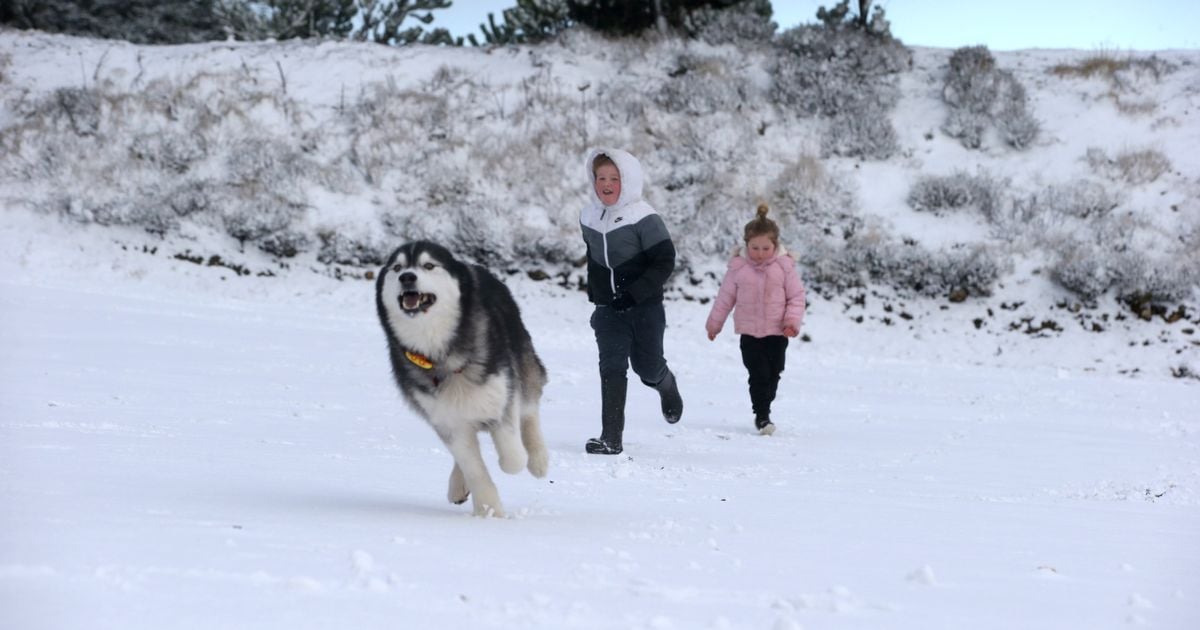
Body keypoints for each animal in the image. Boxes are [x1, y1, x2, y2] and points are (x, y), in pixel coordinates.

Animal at [374, 241, 549, 516]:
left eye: (428, 265)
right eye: (397, 267)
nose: (407, 277)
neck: (441, 355)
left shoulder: (501, 393)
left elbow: (513, 458)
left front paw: (516, 461)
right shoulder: (445, 418)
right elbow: (472, 465)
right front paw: (488, 511)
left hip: (522, 359)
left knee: (530, 407)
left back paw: (538, 459)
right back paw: (457, 485)